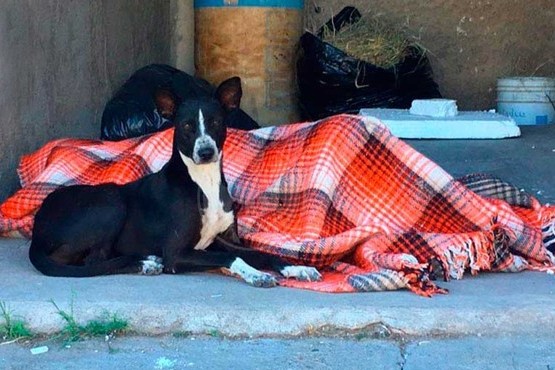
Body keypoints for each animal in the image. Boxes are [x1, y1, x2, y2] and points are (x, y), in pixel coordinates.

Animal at [29, 76, 322, 288]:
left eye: (216, 122)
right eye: (187, 126)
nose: (206, 152)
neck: (203, 181)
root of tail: (38, 223)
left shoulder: (225, 238)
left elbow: (263, 253)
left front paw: (297, 267)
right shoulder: (176, 253)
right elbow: (231, 257)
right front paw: (256, 274)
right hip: (111, 202)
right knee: (93, 261)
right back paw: (146, 263)